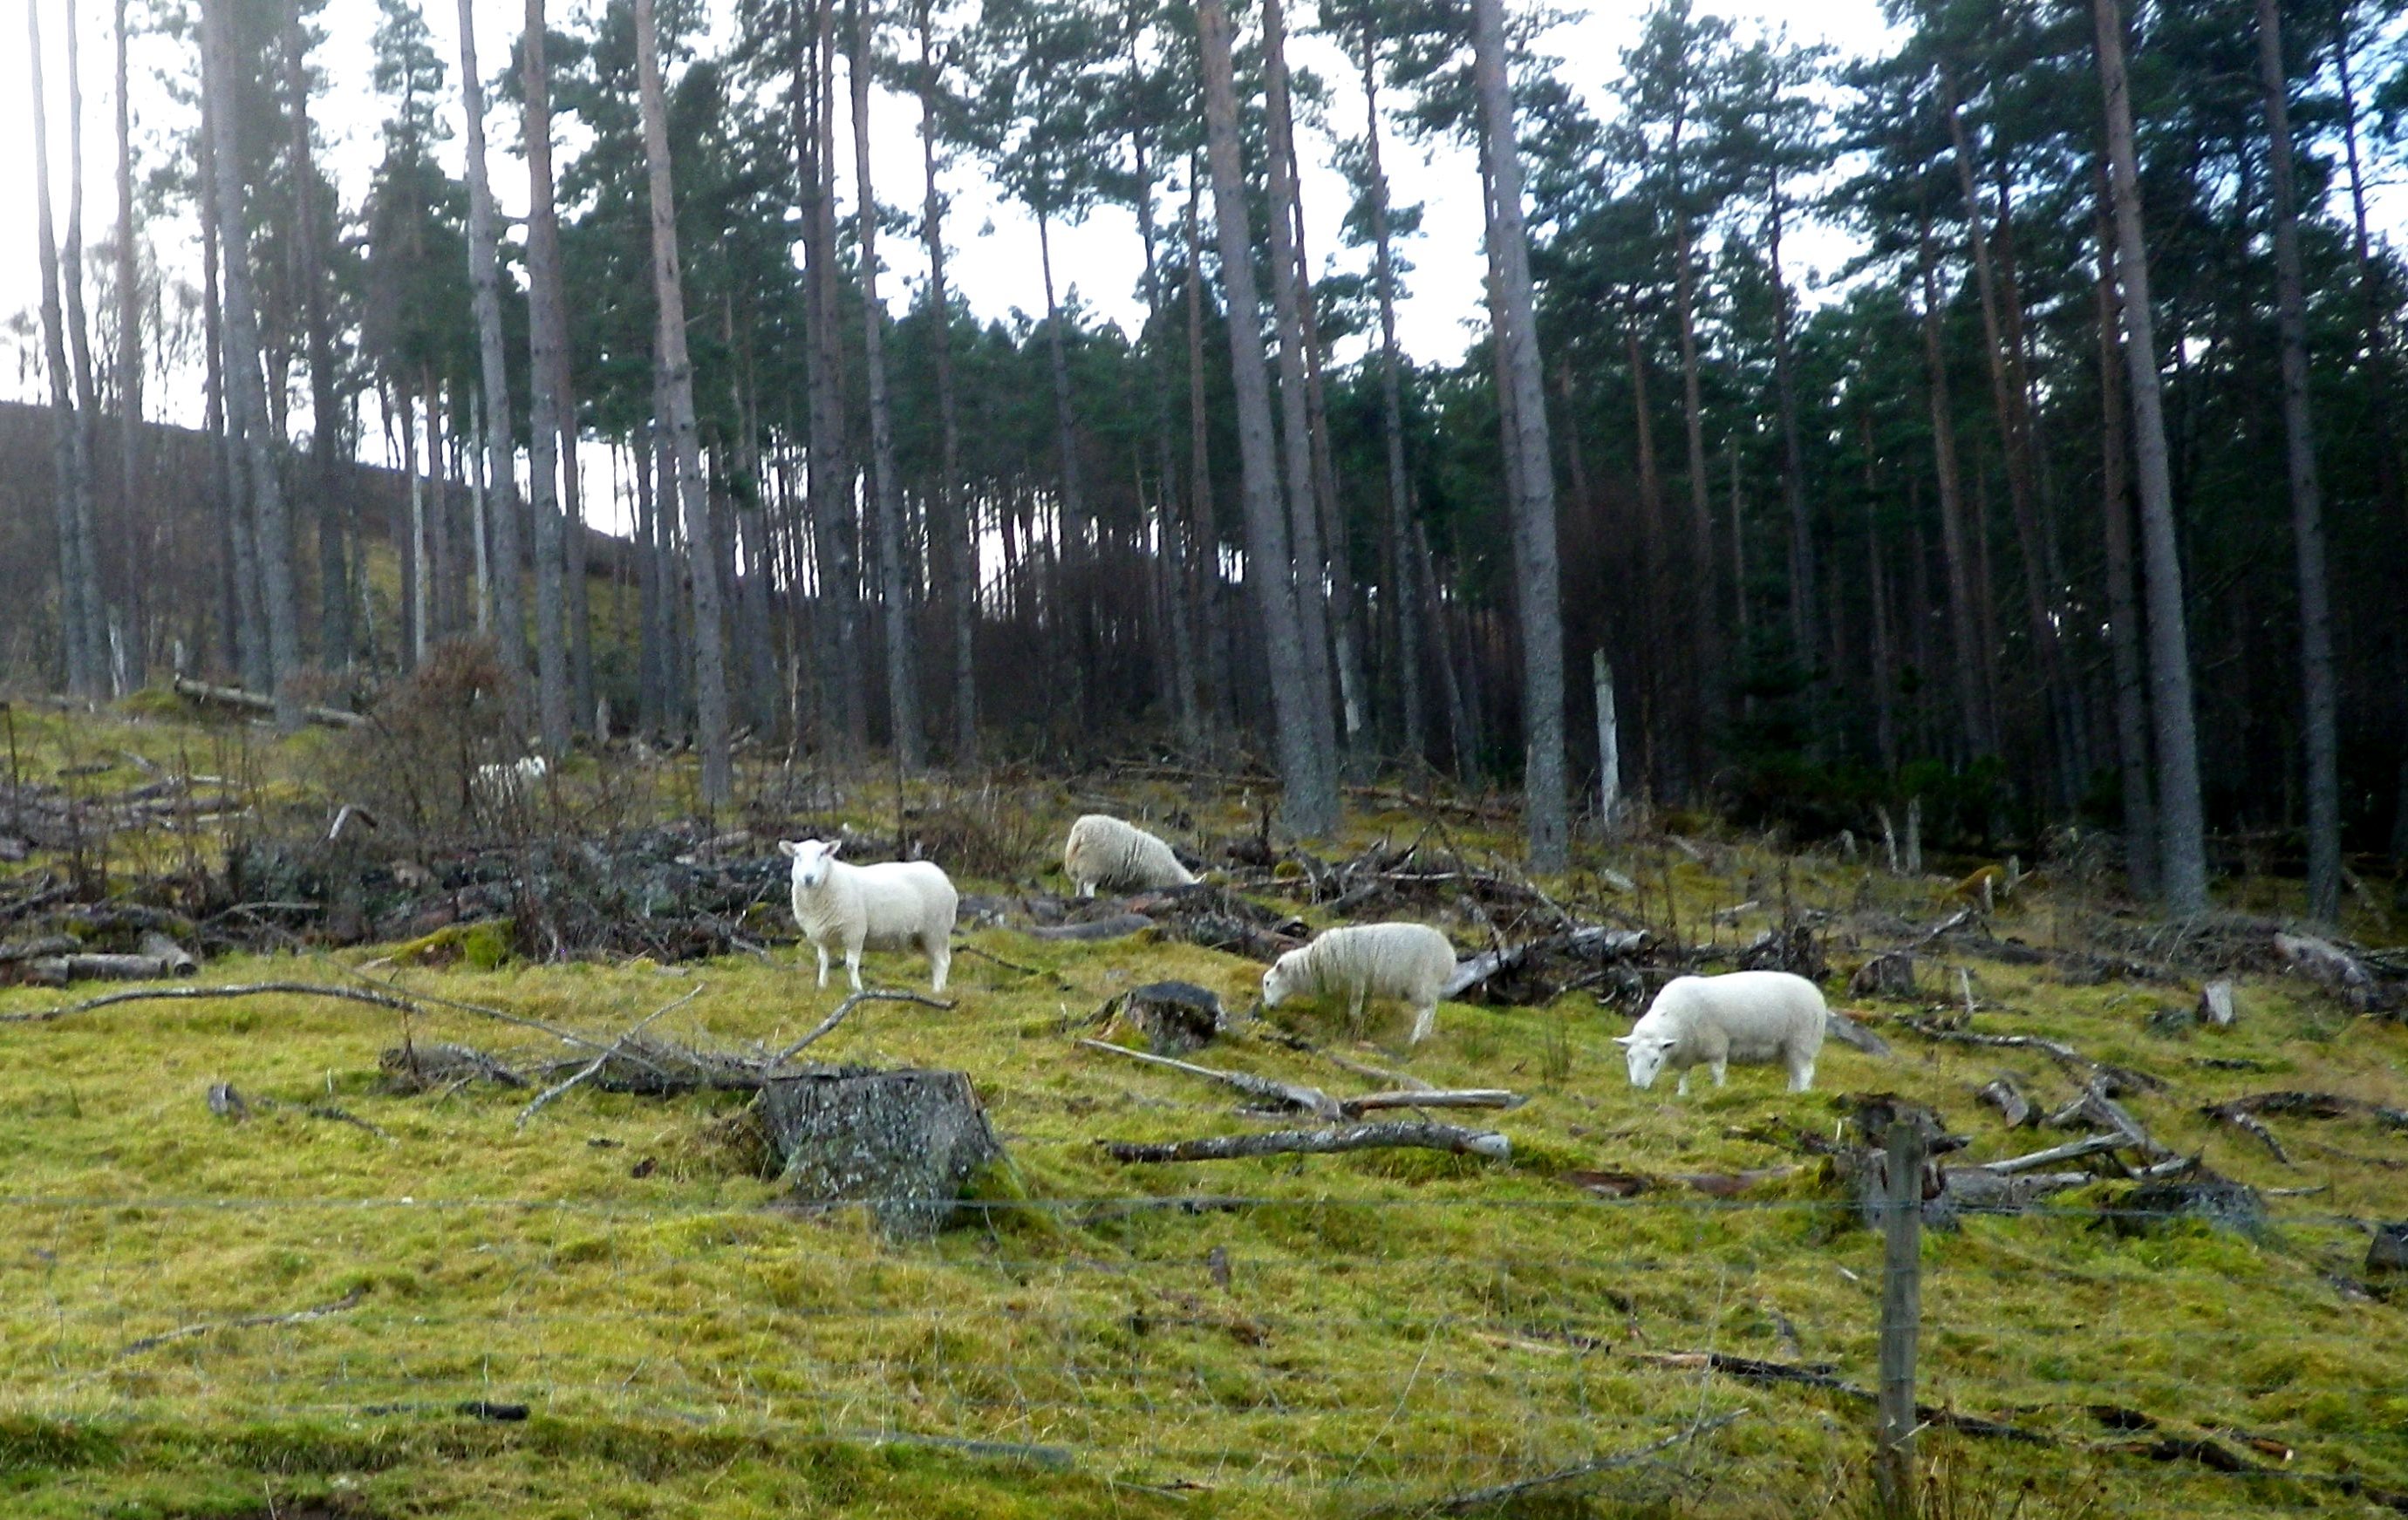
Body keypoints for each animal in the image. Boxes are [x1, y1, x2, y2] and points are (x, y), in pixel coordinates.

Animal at [775, 838, 953, 992]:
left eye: (822, 854)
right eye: (797, 855)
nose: (808, 878)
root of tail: (945, 878)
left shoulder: (854, 931)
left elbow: (851, 964)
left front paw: (857, 989)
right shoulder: (821, 936)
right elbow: (823, 962)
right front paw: (822, 986)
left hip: (937, 929)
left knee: (943, 962)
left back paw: (939, 991)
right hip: (922, 936)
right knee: (934, 962)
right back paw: (935, 990)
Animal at [1059, 814, 1198, 896]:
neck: (1174, 874)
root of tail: (1080, 831)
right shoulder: (1153, 882)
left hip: (1079, 866)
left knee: (1079, 886)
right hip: (1092, 865)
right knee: (1088, 887)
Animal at [1261, 920, 1463, 1050]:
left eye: (1268, 983)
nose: (1268, 1007)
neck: (1314, 963)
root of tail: (1450, 954)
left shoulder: (1357, 980)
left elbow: (1355, 1006)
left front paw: (1354, 1024)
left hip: (1423, 982)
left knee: (1426, 1010)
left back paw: (1414, 1039)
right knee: (1432, 1009)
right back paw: (1424, 1037)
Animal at [1618, 972, 1820, 1094]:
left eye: (1655, 1060)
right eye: (1629, 1057)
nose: (1638, 1087)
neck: (1673, 1014)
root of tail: (1816, 993)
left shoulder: (1717, 1046)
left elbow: (1717, 1074)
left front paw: (1718, 1092)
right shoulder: (1686, 1053)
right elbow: (1684, 1076)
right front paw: (1682, 1094)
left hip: (1801, 1043)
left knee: (1805, 1074)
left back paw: (1802, 1095)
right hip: (1787, 1049)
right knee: (1795, 1074)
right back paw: (1791, 1094)